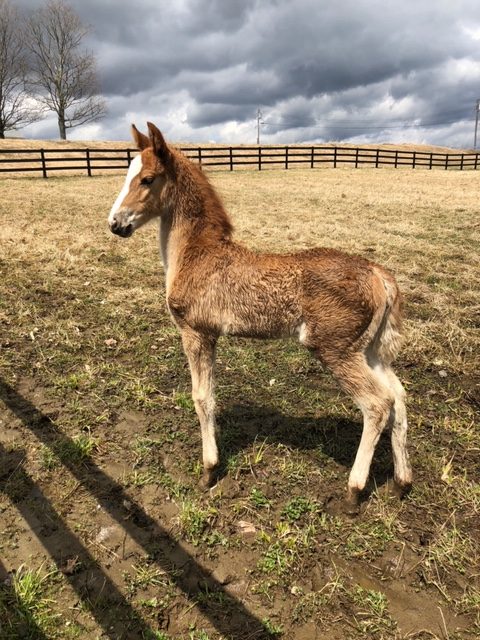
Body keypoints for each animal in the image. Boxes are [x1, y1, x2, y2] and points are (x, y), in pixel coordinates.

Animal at [108, 122, 412, 511]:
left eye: (147, 179)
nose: (115, 224)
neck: (196, 254)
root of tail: (380, 275)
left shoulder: (195, 332)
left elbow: (201, 398)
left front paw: (209, 470)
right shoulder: (211, 336)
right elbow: (210, 396)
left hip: (335, 349)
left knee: (378, 404)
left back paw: (354, 490)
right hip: (369, 350)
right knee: (399, 396)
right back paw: (401, 483)